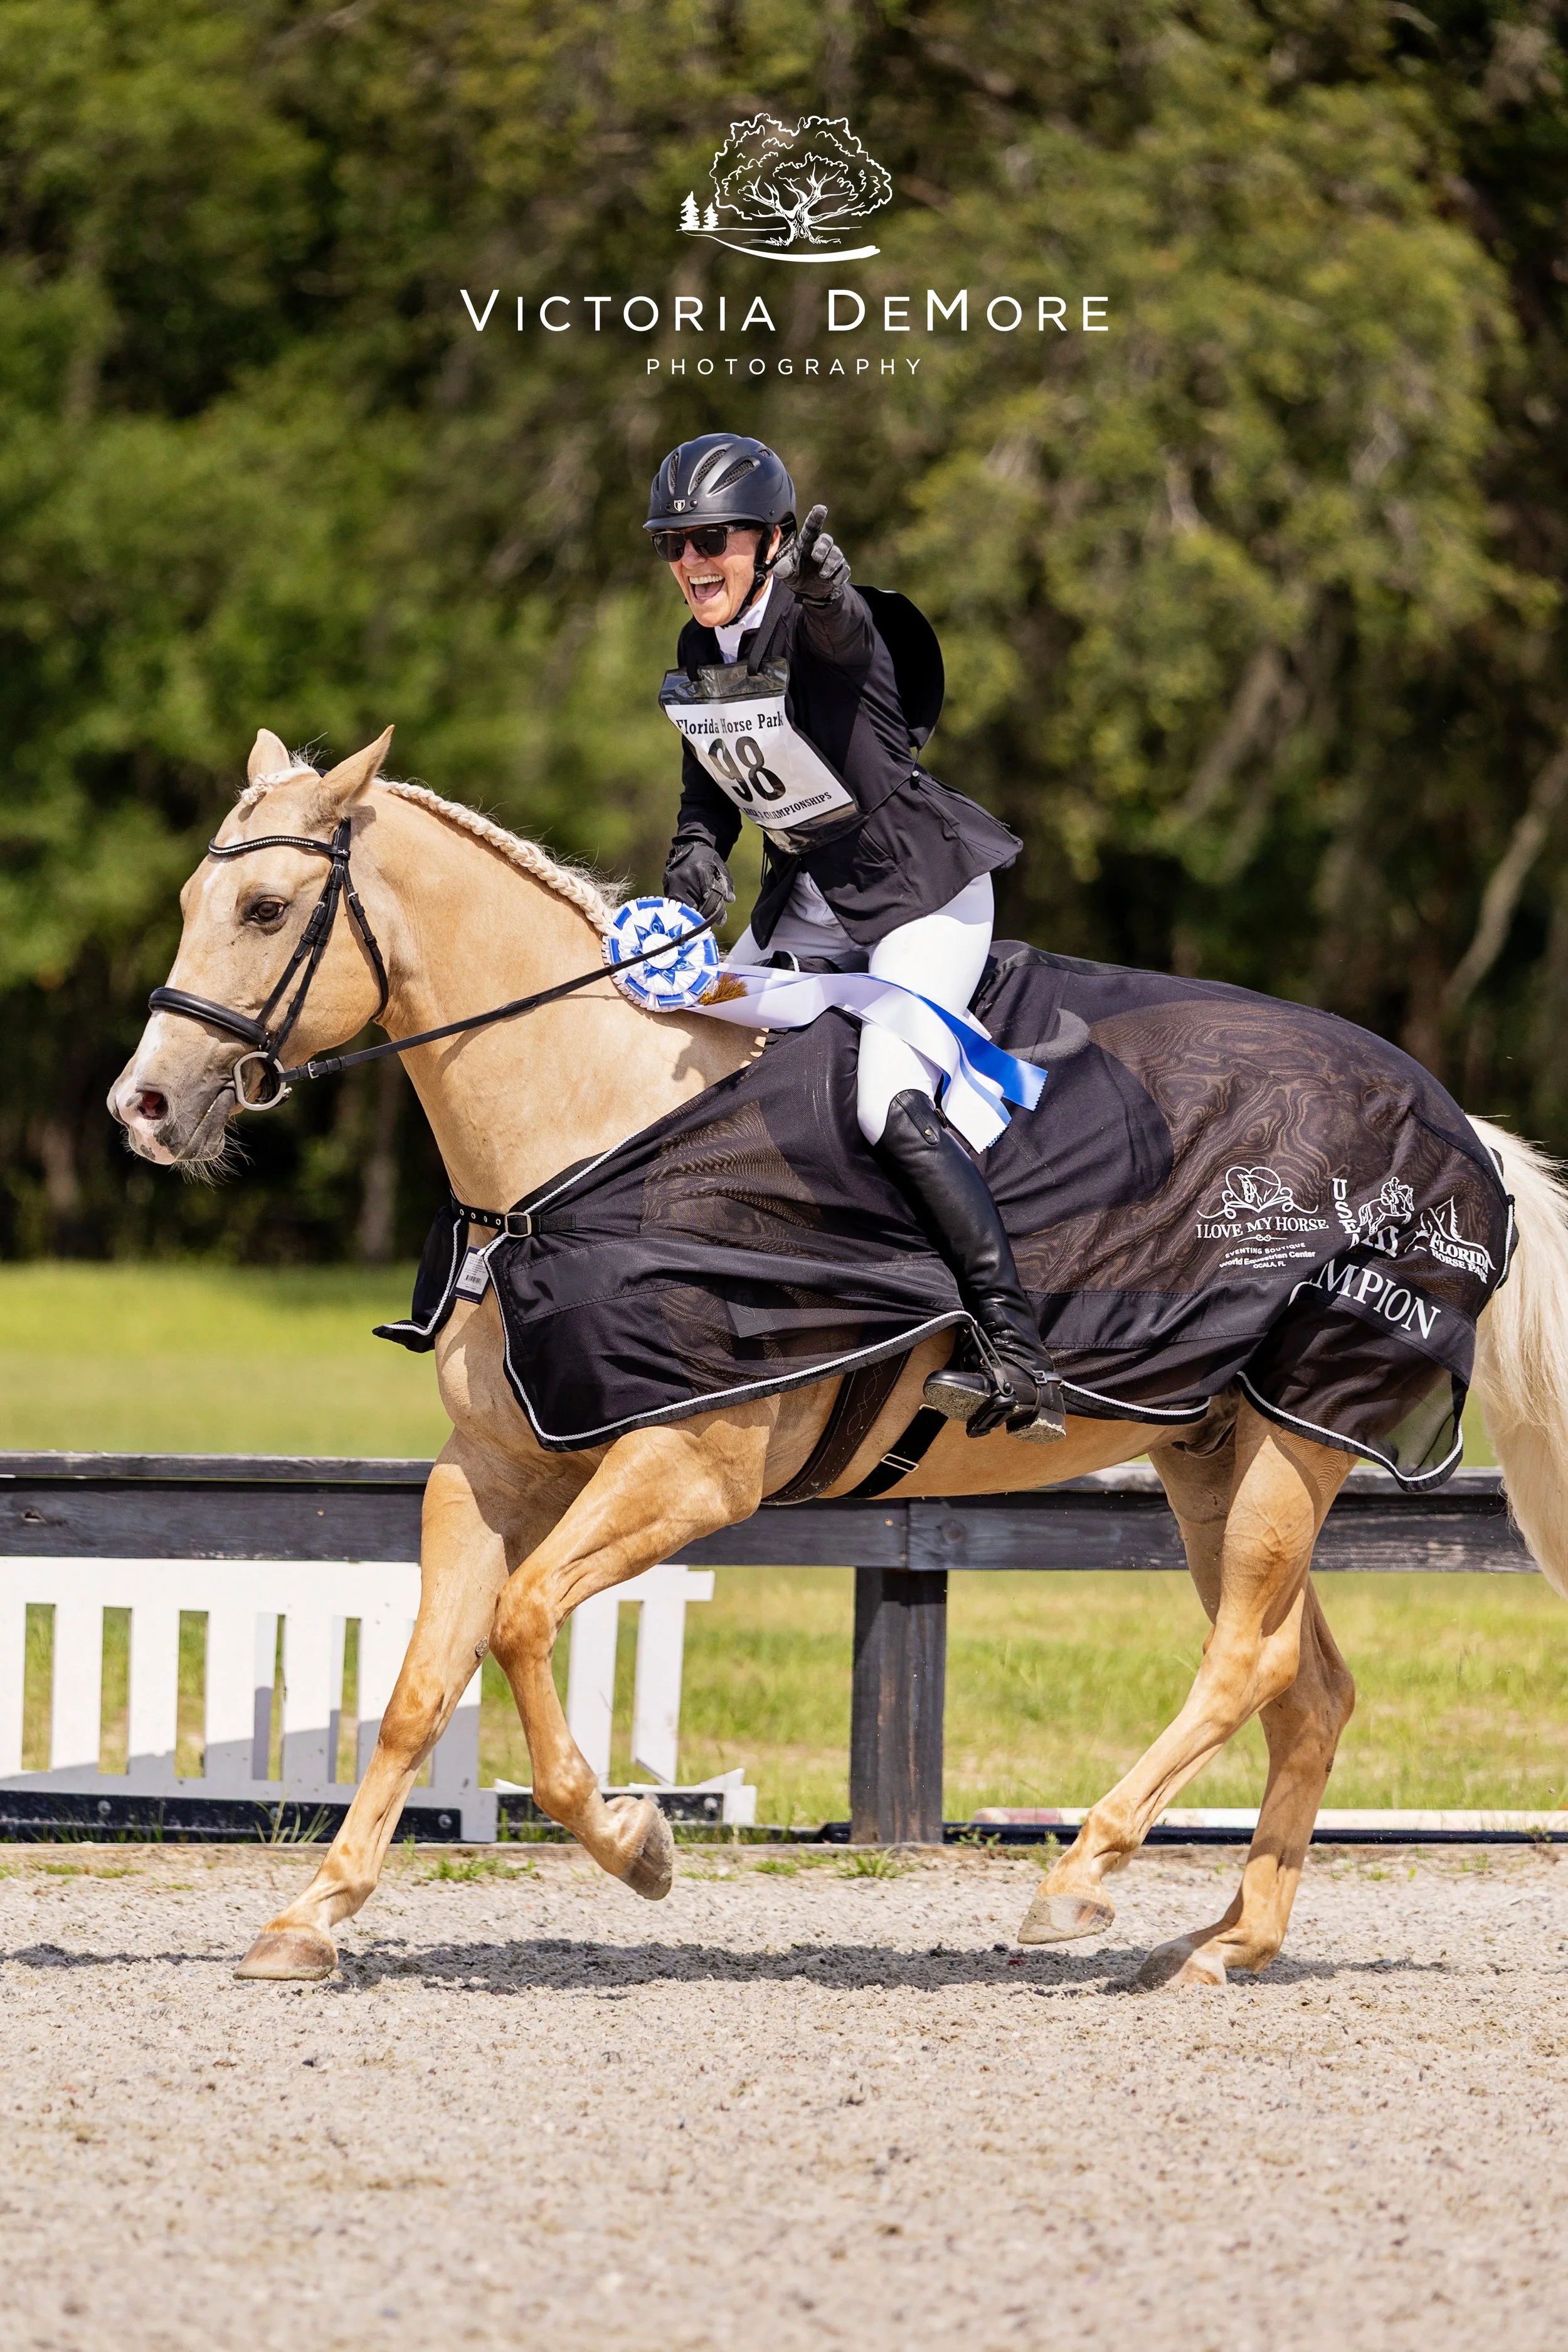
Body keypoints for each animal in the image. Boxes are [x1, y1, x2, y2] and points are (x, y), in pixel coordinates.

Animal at [109, 727, 1568, 1990]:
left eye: (265, 911)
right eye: (190, 898)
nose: (146, 1108)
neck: (591, 1136)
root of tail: (1465, 1131)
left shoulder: (689, 1470)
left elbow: (521, 1621)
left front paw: (632, 1843)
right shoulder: (488, 1468)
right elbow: (420, 1687)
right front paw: (311, 1916)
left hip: (1293, 1439)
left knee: (1247, 1665)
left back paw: (1079, 1880)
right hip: (1211, 1454)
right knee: (1305, 1689)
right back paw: (1223, 1942)